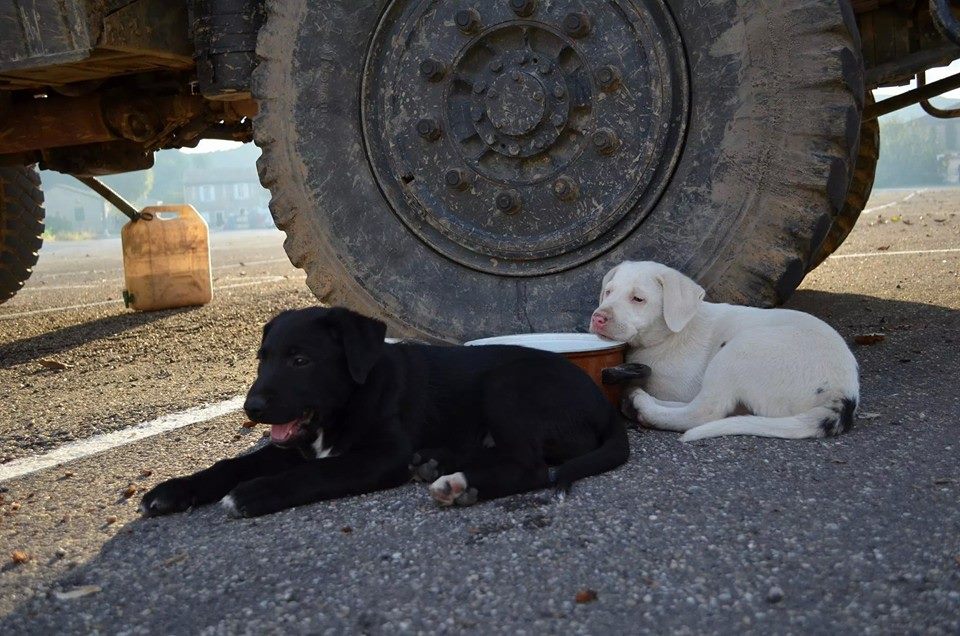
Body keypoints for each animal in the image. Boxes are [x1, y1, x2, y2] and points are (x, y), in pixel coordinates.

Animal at [140, 307, 628, 518]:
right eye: (262, 358)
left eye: (300, 360)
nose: (252, 407)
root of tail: (601, 403)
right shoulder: (294, 445)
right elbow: (232, 463)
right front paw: (174, 490)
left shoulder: (380, 455)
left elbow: (317, 472)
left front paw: (256, 493)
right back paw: (436, 464)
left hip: (507, 386)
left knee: (529, 466)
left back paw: (456, 484)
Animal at [589, 261, 859, 441]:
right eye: (608, 292)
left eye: (638, 299)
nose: (598, 318)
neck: (668, 336)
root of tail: (843, 394)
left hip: (737, 351)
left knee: (704, 411)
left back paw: (643, 406)